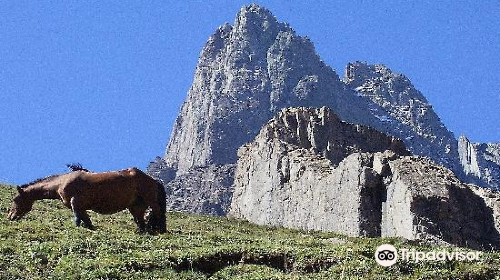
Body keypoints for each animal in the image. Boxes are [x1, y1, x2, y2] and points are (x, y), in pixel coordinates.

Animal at [6, 165, 166, 233]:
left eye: (15, 199)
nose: (10, 217)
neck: (62, 182)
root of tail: (154, 180)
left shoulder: (76, 203)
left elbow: (78, 219)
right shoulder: (81, 207)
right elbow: (86, 221)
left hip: (150, 202)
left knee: (158, 213)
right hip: (136, 207)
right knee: (141, 222)